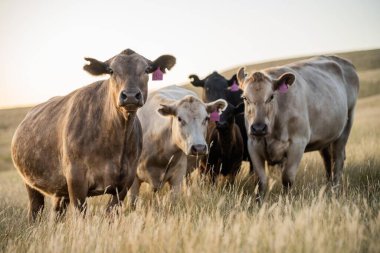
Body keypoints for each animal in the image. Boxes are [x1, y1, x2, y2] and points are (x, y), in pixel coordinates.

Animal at [11, 48, 177, 220]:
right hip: (30, 182)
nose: (130, 95)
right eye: (111, 71)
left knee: (57, 213)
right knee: (35, 210)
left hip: (60, 189)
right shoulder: (76, 179)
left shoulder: (125, 182)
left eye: (146, 70)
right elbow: (81, 216)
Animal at [238, 54, 360, 198]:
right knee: (328, 160)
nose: (258, 127)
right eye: (245, 98)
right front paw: (259, 201)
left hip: (346, 125)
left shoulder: (298, 143)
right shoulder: (253, 145)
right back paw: (328, 187)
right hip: (325, 138)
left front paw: (286, 200)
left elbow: (287, 178)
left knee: (338, 159)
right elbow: (260, 180)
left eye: (271, 97)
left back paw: (334, 189)